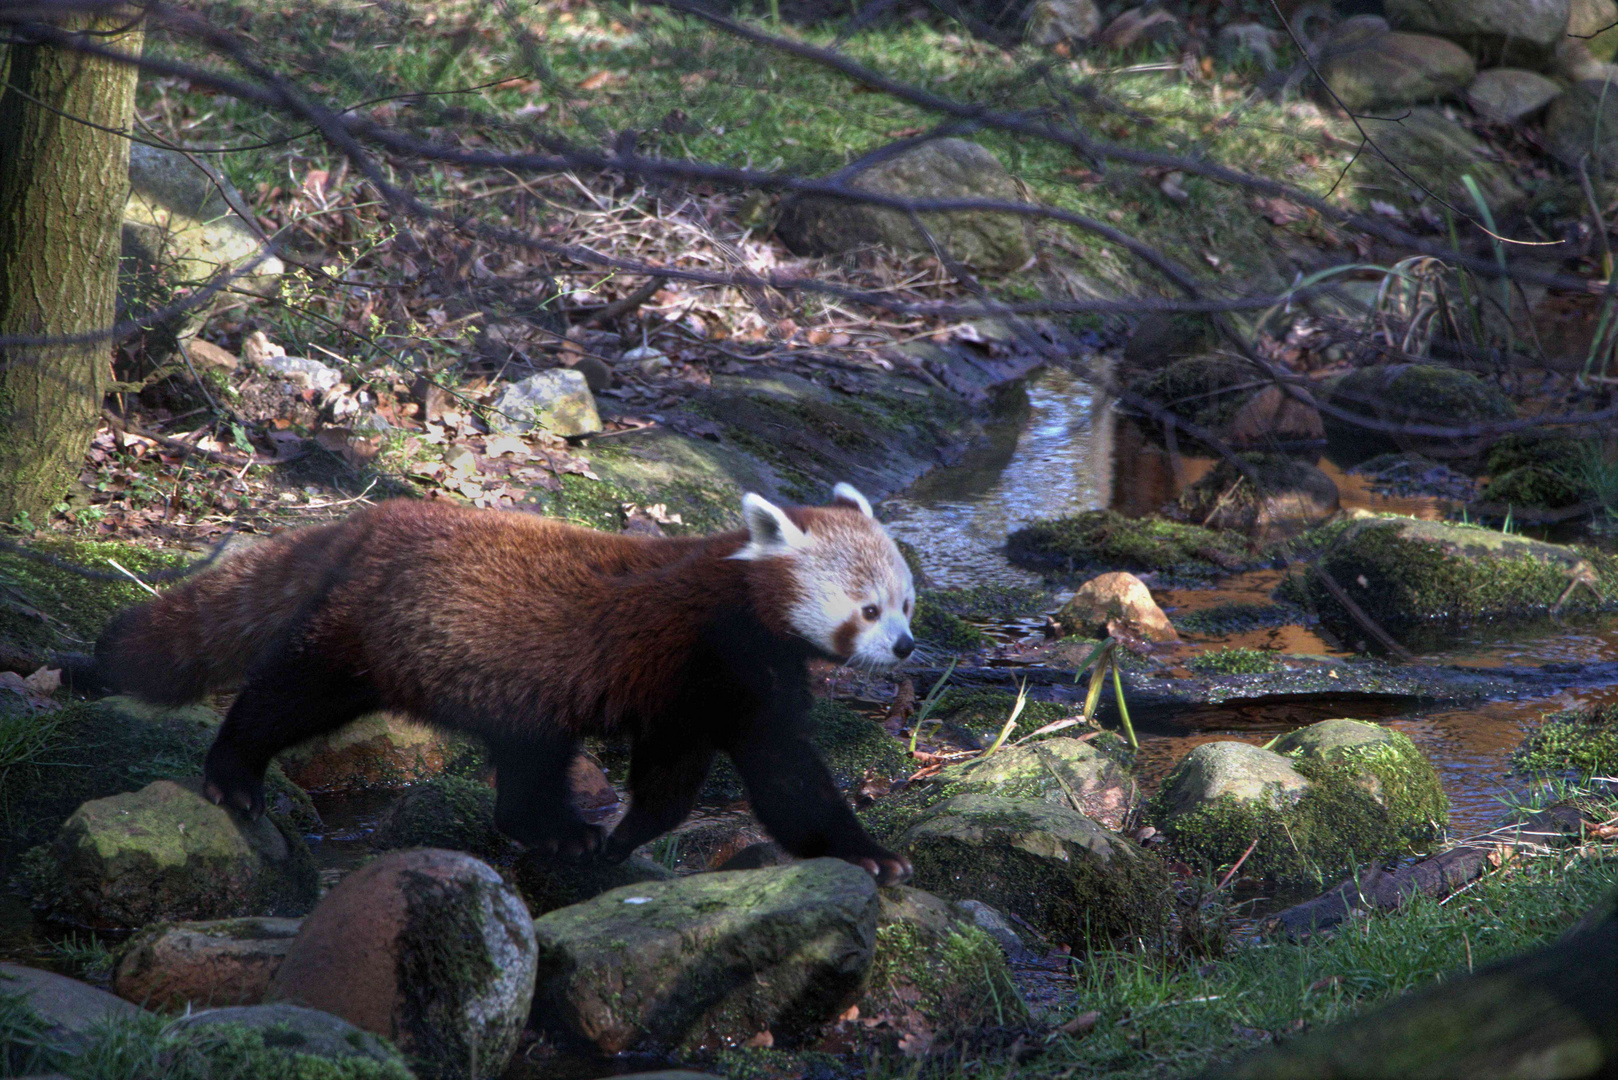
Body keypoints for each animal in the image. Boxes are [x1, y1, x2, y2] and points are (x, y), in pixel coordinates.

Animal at [94, 485, 919, 880]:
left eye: (907, 604)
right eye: (869, 610)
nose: (907, 646)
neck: (745, 599)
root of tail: (374, 519)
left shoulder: (700, 691)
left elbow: (684, 779)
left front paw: (623, 839)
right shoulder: (716, 661)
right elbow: (778, 772)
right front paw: (865, 853)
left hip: (505, 683)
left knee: (529, 762)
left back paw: (555, 831)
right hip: (366, 641)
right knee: (286, 697)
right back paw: (233, 770)